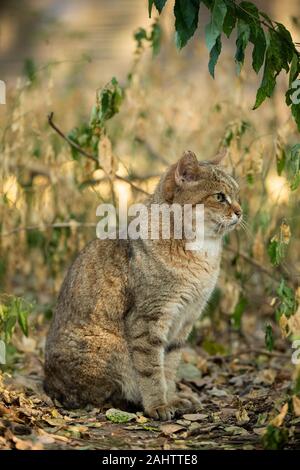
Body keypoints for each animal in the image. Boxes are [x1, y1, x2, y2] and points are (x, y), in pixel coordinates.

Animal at [44, 150, 241, 418]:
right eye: (220, 197)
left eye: (237, 195)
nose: (240, 211)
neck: (201, 255)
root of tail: (47, 383)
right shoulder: (148, 319)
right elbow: (151, 370)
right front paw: (158, 405)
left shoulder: (184, 321)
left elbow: (168, 366)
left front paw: (172, 398)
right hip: (109, 346)